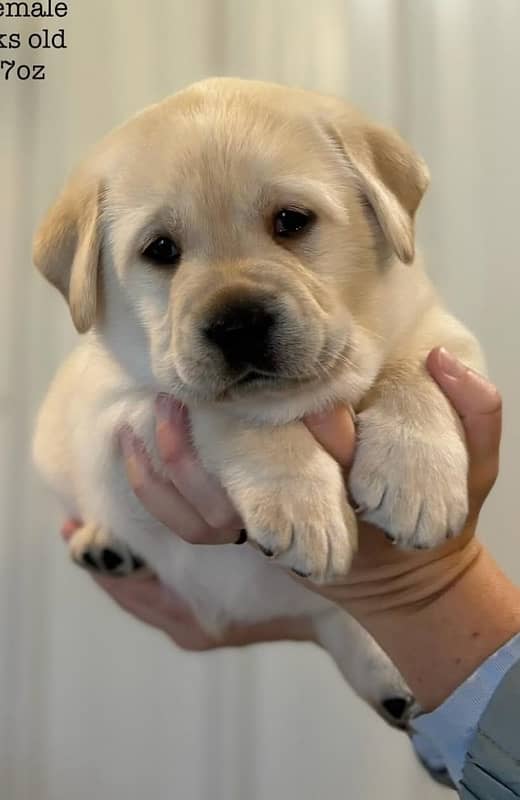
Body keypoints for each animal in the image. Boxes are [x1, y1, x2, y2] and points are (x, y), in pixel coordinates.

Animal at [32, 79, 484, 724]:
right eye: (160, 249)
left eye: (291, 221)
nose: (238, 324)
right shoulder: (118, 407)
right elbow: (237, 413)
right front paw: (300, 505)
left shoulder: (444, 335)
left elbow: (411, 373)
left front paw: (416, 481)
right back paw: (105, 544)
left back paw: (394, 680)